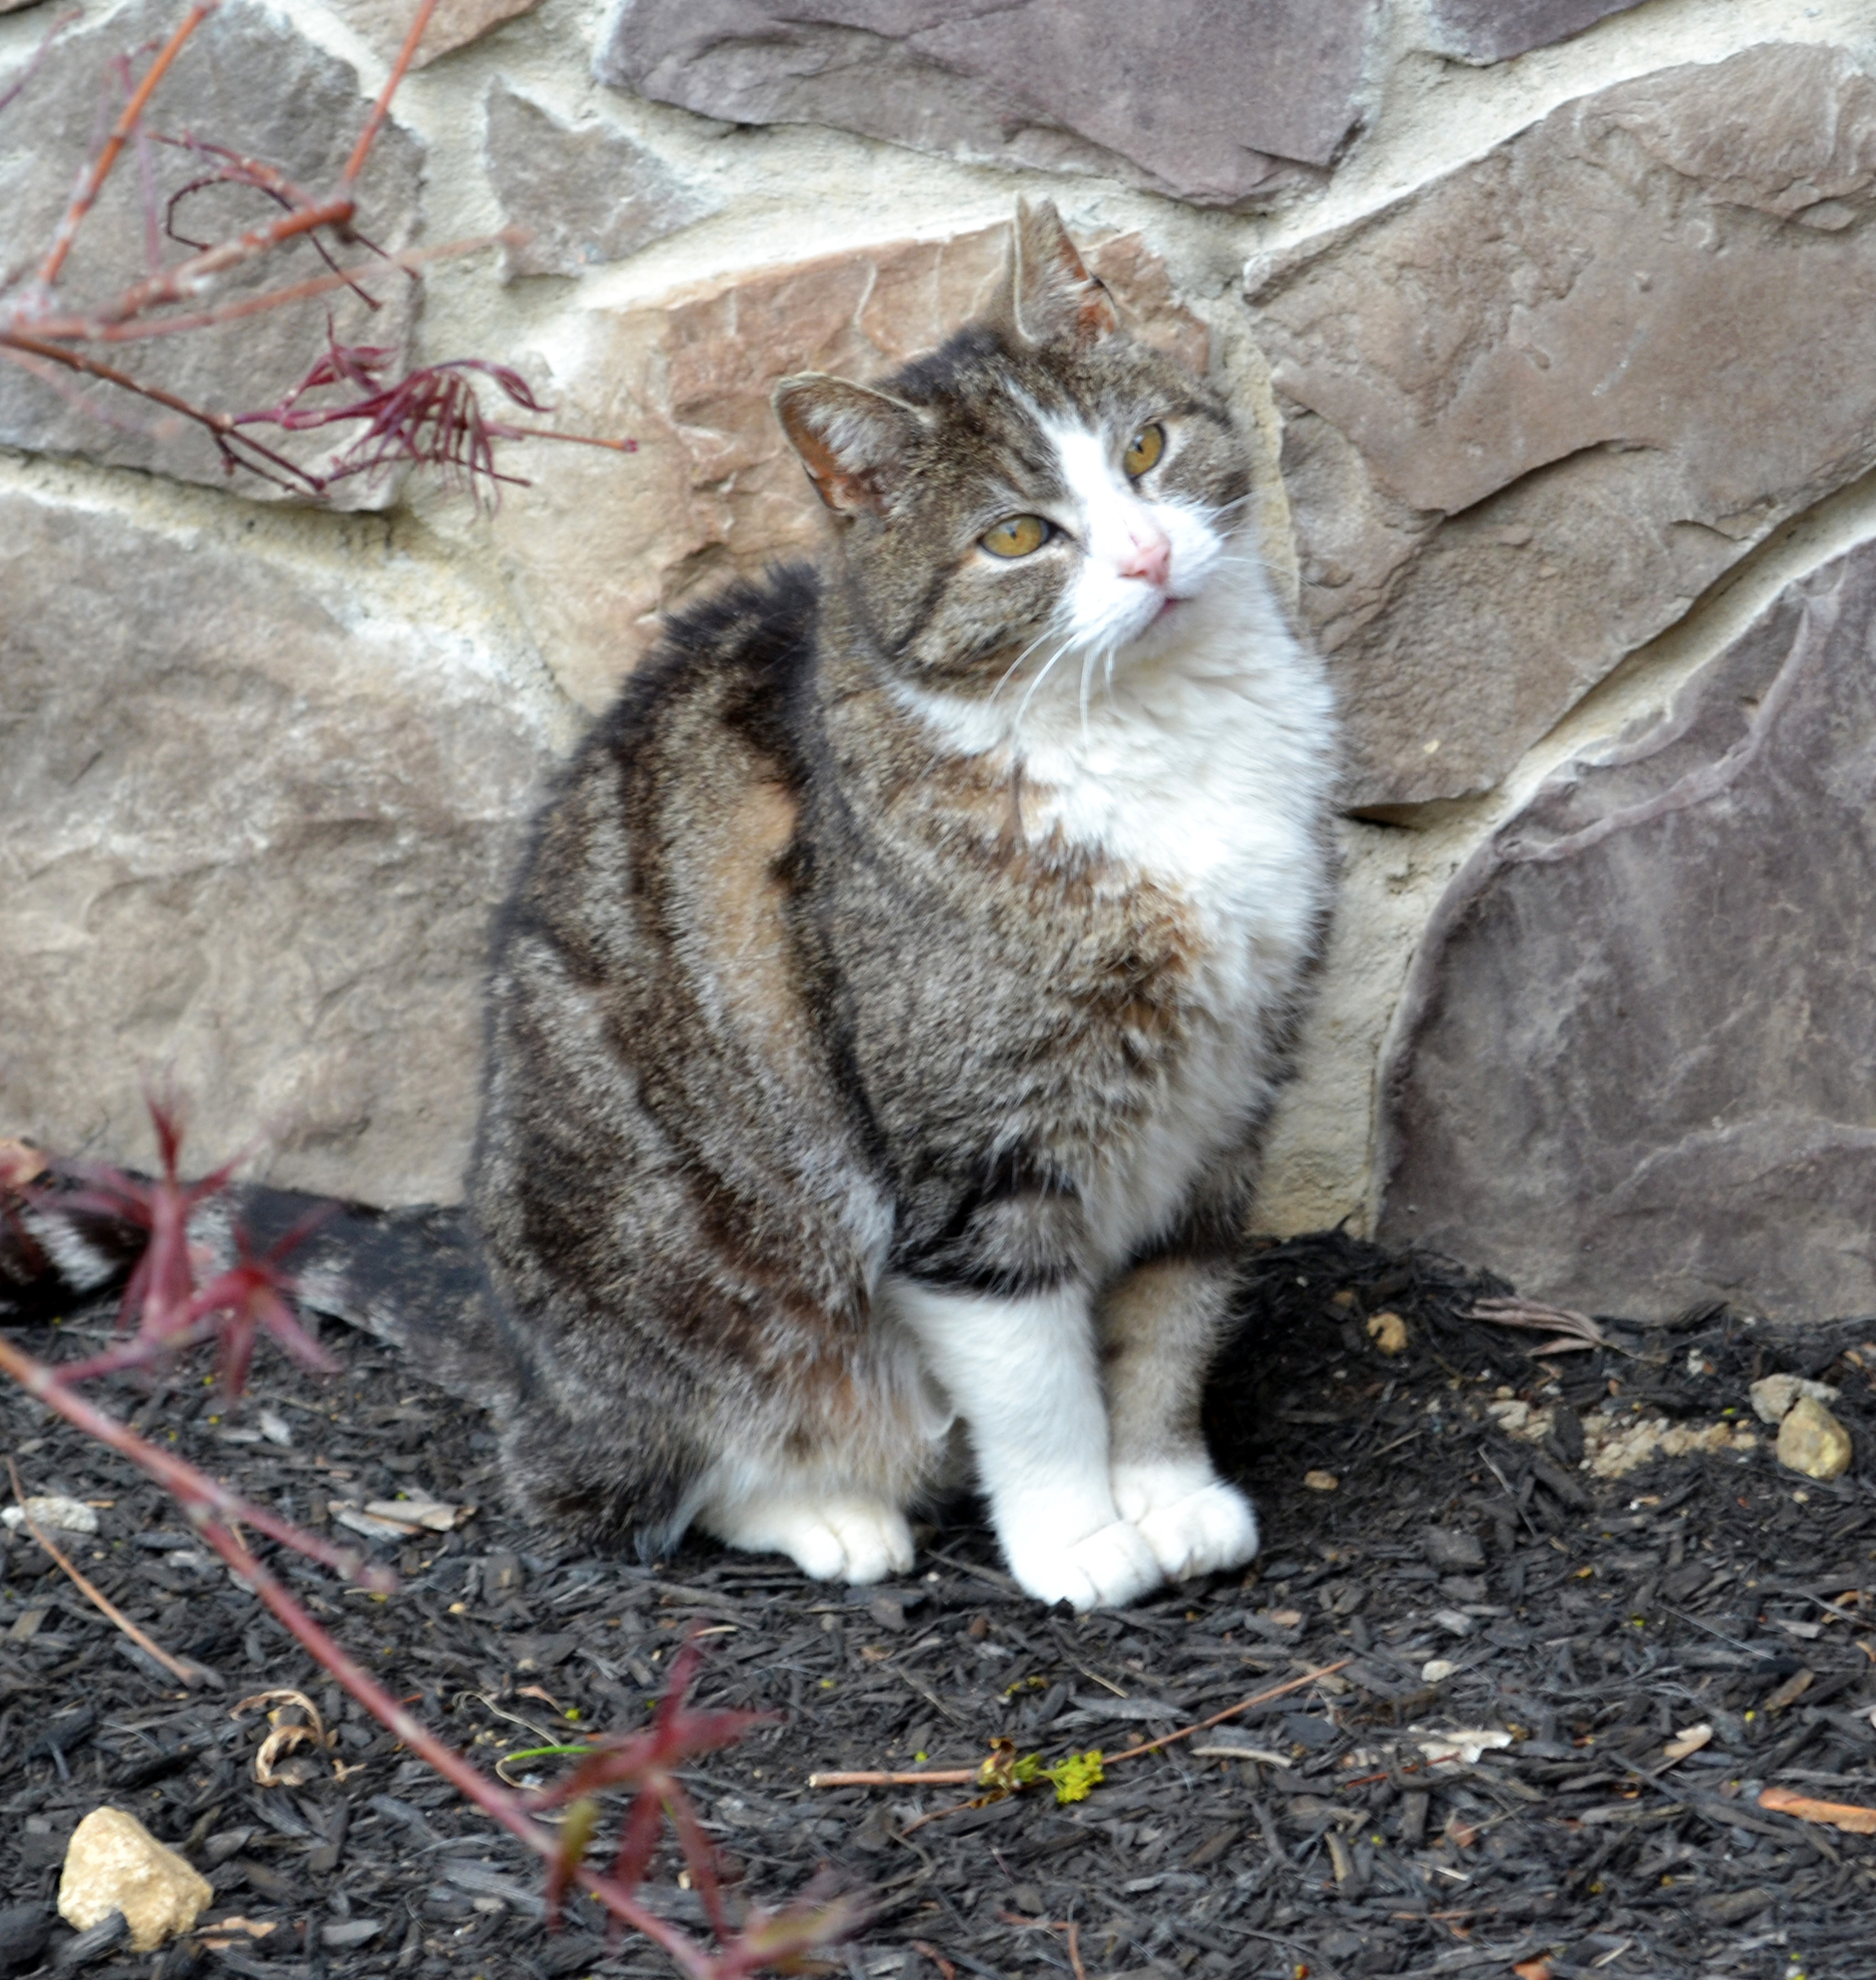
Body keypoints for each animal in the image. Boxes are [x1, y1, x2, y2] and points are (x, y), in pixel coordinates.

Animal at [465, 197, 1331, 1607]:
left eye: (1144, 450)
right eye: (1017, 535)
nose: (1148, 553)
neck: (1153, 735)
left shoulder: (1225, 1109)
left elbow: (1168, 1321)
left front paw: (1165, 1490)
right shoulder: (974, 1159)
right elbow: (1036, 1380)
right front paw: (1081, 1536)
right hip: (679, 1286)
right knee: (672, 1470)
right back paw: (830, 1511)